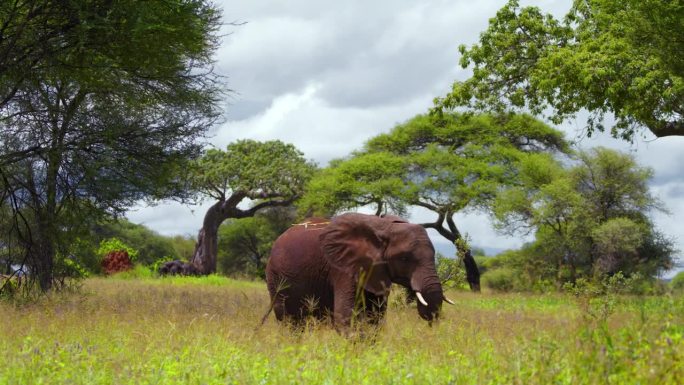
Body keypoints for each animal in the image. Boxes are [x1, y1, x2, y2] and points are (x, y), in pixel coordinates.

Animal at [264, 212, 452, 328]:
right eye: (405, 259)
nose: (431, 322)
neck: (384, 227)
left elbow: (375, 318)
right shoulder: (342, 268)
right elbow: (346, 316)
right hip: (275, 277)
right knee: (290, 321)